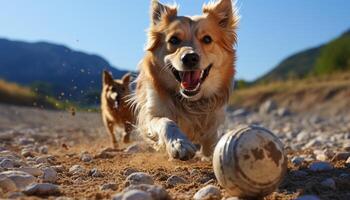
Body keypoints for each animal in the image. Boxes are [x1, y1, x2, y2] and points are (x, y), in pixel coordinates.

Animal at [133, 0, 239, 160]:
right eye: (173, 40)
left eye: (207, 39)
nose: (190, 58)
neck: (191, 102)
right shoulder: (150, 114)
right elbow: (166, 122)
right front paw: (179, 143)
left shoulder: (214, 118)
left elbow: (211, 139)